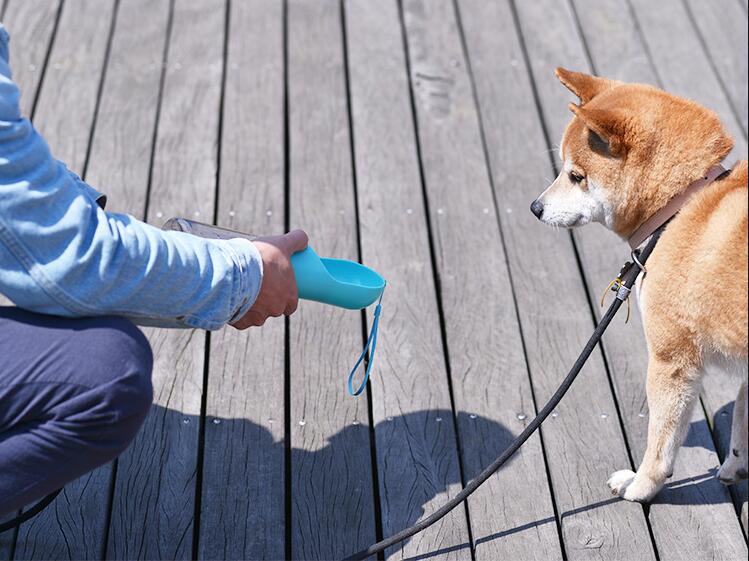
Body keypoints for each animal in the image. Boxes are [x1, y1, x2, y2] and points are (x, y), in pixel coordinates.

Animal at [528, 68, 744, 500]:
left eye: (576, 176)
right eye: (563, 169)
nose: (535, 207)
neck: (682, 203)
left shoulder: (671, 360)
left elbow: (660, 443)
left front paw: (641, 485)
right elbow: (742, 425)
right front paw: (735, 466)